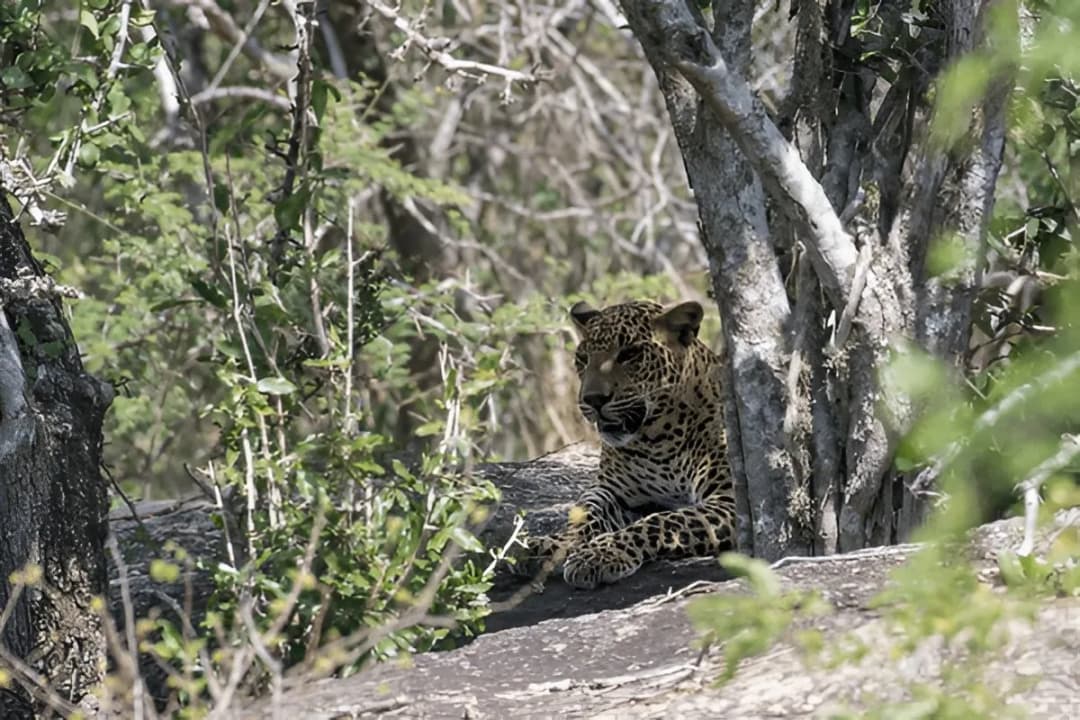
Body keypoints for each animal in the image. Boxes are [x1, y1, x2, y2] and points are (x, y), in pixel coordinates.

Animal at [516, 298, 736, 589]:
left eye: (630, 354)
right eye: (583, 359)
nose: (593, 399)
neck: (657, 439)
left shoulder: (728, 499)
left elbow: (663, 521)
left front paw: (600, 554)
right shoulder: (613, 491)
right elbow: (585, 514)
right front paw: (549, 545)